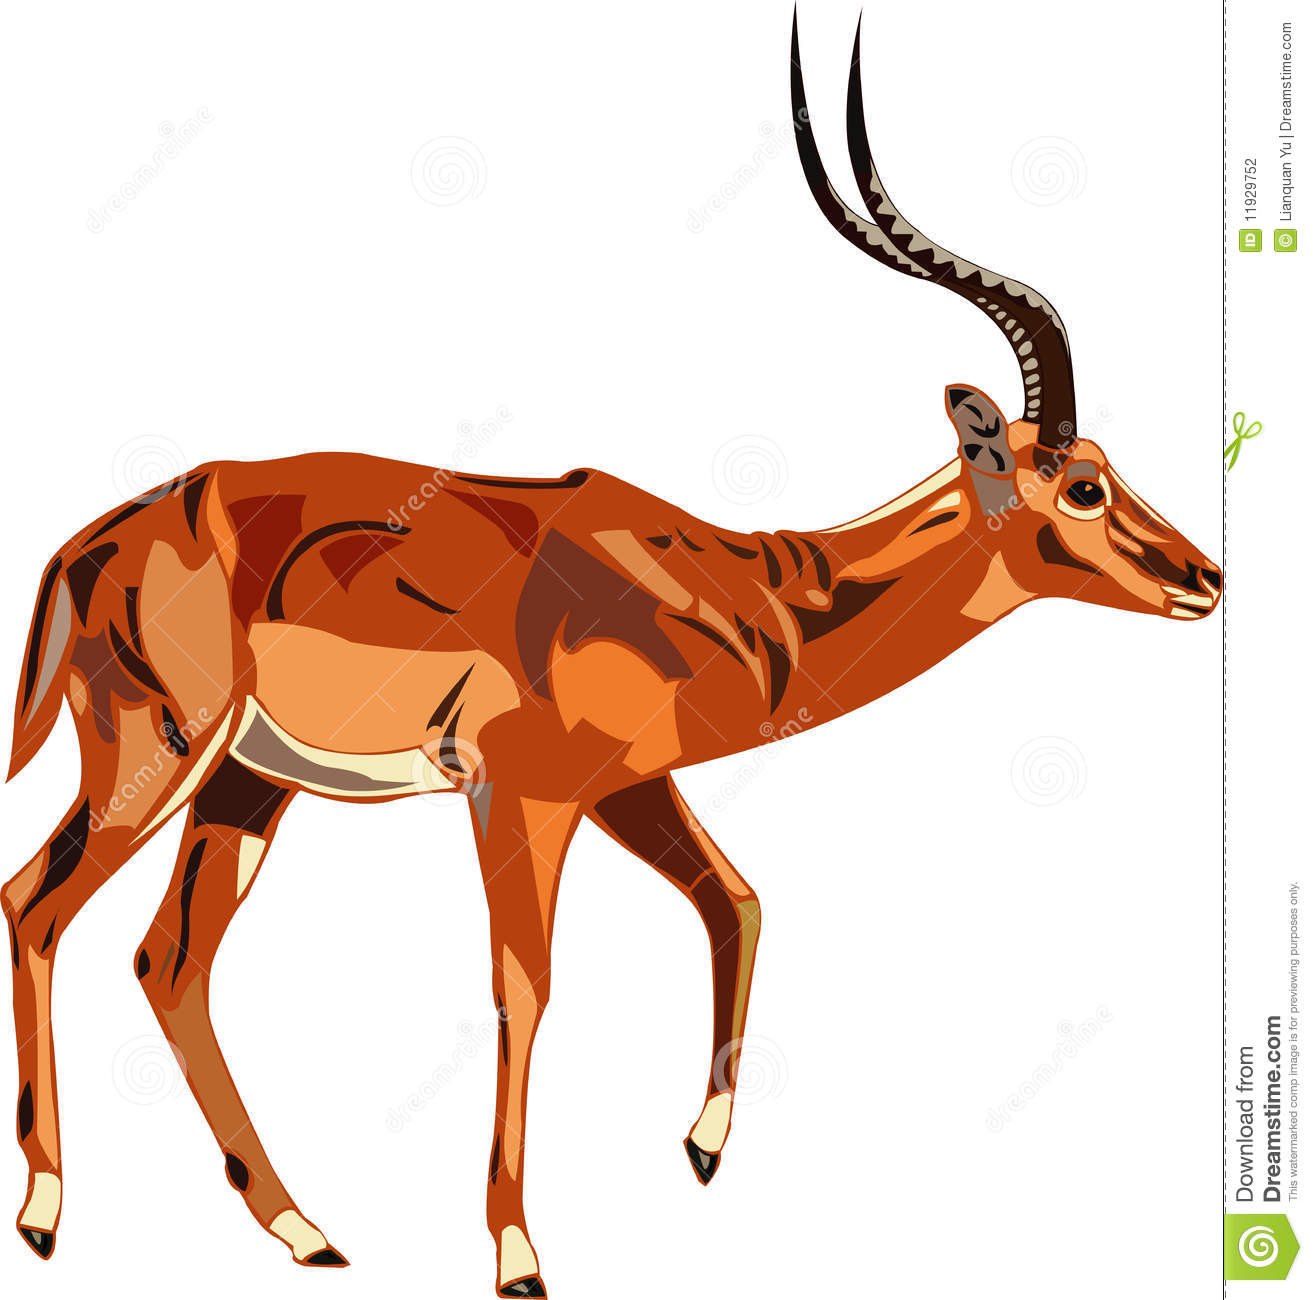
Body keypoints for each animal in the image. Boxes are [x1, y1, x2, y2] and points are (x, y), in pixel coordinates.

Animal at [3, 16, 1219, 1297]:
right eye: (1080, 483)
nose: (1206, 578)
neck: (743, 593)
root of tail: (95, 540)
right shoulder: (522, 793)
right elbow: (523, 987)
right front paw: (518, 1255)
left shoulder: (629, 785)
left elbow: (737, 900)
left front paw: (701, 1149)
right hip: (156, 753)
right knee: (35, 901)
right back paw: (44, 1214)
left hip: (248, 783)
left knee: (169, 960)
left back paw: (305, 1228)